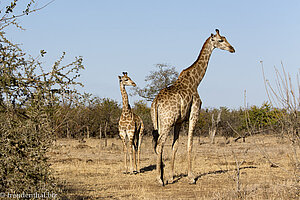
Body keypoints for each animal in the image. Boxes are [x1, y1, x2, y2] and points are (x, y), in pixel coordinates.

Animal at [151, 28, 236, 185]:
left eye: (225, 38)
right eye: (221, 40)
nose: (232, 48)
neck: (196, 81)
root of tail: (156, 102)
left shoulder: (179, 121)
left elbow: (175, 146)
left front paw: (171, 177)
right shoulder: (194, 114)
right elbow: (190, 144)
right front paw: (191, 177)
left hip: (157, 122)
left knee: (157, 145)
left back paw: (162, 176)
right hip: (167, 122)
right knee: (159, 144)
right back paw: (159, 179)